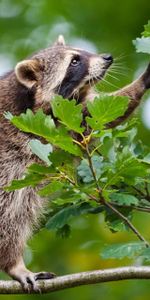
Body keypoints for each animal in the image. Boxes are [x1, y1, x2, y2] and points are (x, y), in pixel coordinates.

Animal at [0, 34, 149, 290]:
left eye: (80, 53)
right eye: (74, 61)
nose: (107, 57)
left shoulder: (73, 115)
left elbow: (104, 111)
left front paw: (142, 81)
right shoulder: (14, 149)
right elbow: (9, 212)